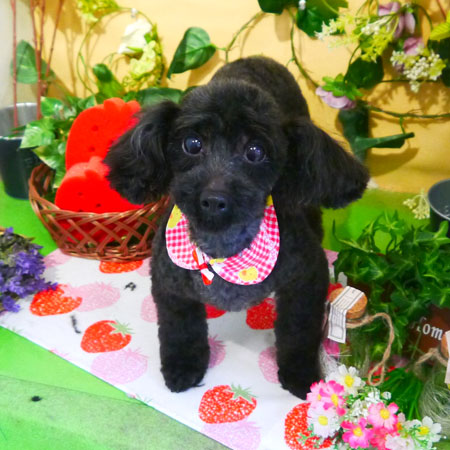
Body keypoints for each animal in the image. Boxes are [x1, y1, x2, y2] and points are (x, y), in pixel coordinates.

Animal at [105, 56, 369, 399]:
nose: (213, 199)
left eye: (255, 151)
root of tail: (258, 59)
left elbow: (299, 331)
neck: (223, 250)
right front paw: (183, 368)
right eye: (192, 144)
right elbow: (180, 330)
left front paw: (301, 375)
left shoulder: (306, 278)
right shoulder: (169, 285)